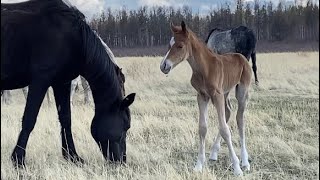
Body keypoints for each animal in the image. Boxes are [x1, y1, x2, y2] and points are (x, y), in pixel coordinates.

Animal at [0, 0, 135, 167]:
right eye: (126, 126)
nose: (121, 161)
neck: (72, 38)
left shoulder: (62, 82)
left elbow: (66, 119)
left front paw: (72, 156)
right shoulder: (40, 80)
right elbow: (29, 119)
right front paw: (18, 159)